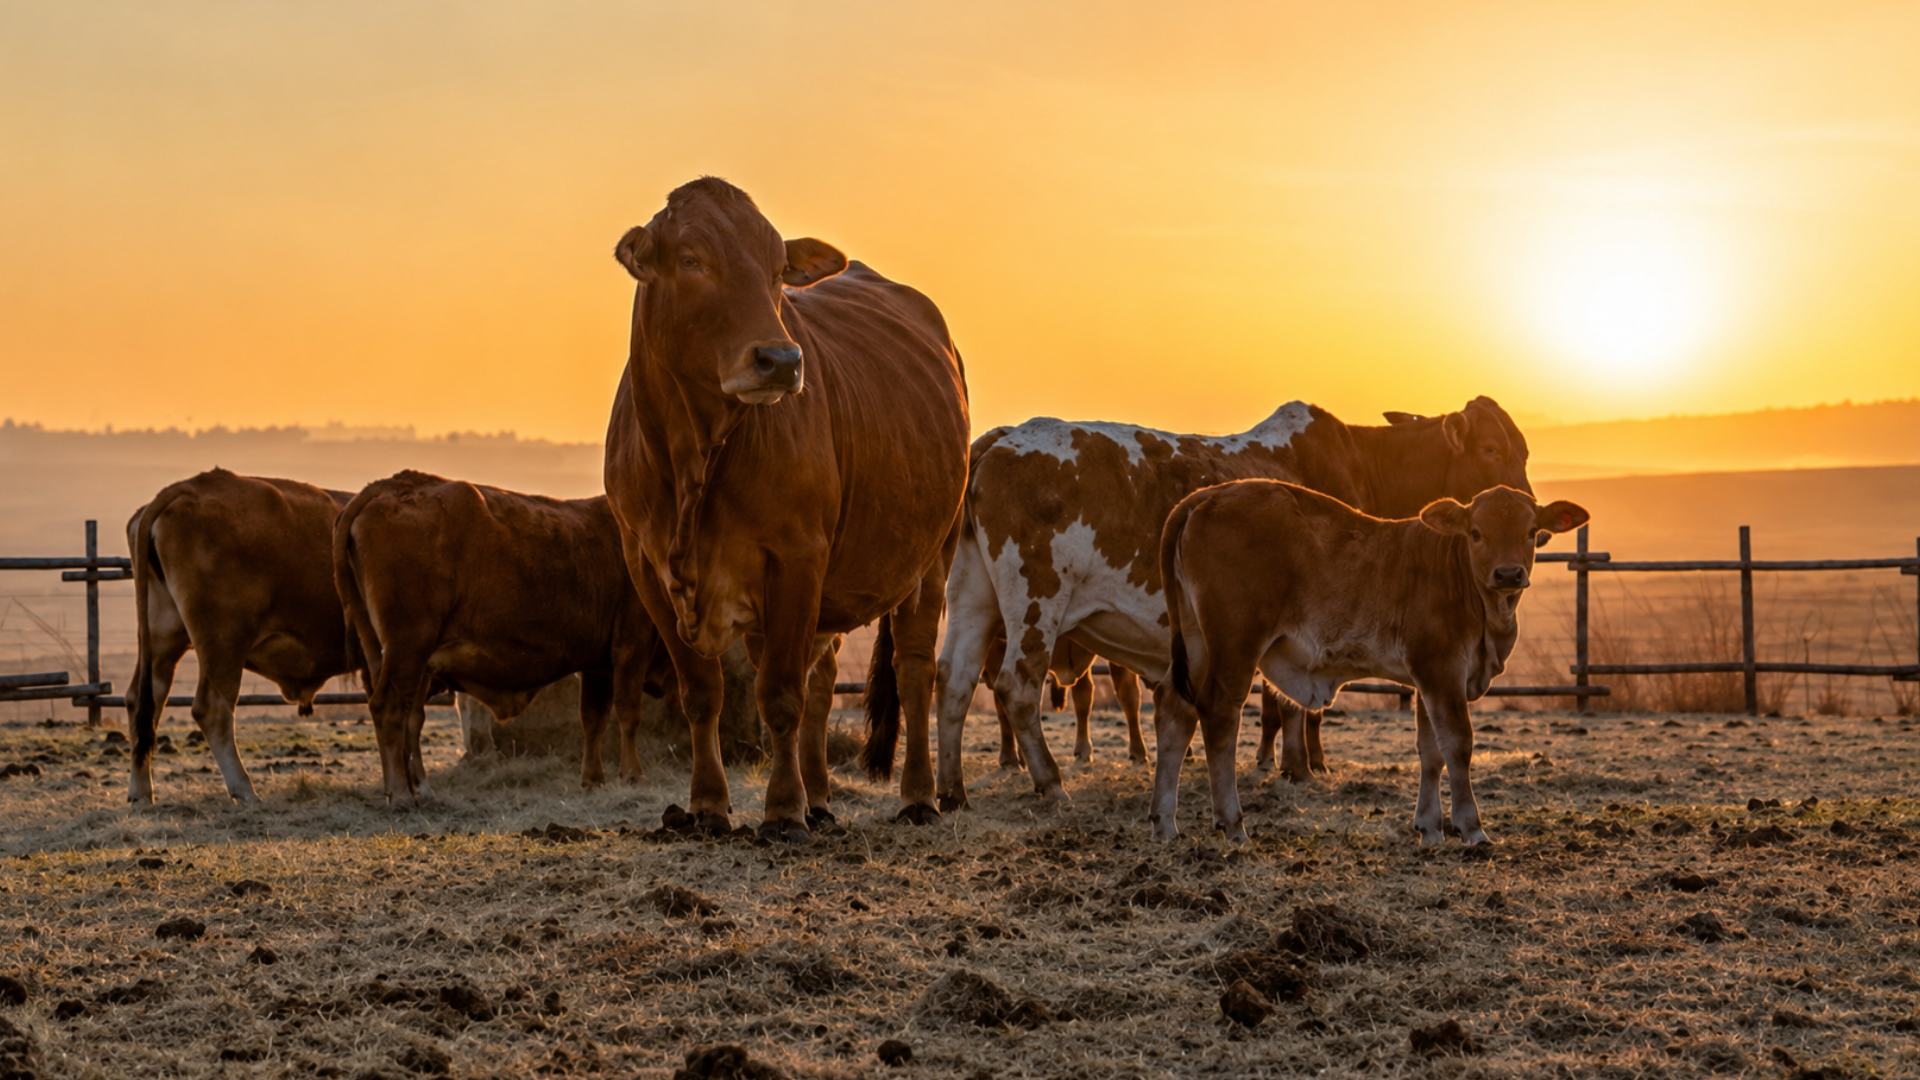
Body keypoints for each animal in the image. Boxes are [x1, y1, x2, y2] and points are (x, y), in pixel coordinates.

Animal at [126, 469, 359, 805]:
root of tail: (186, 487)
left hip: (162, 640)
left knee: (144, 702)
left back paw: (141, 793)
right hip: (224, 643)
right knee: (213, 710)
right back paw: (245, 790)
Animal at [332, 471, 670, 802]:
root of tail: (391, 485)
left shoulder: (596, 665)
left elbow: (593, 719)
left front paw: (593, 779)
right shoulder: (632, 645)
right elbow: (628, 711)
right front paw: (633, 775)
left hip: (394, 656)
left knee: (405, 717)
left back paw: (415, 789)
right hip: (408, 648)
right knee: (390, 709)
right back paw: (402, 794)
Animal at [603, 177, 970, 841]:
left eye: (777, 270)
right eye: (691, 260)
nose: (781, 359)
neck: (692, 462)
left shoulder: (798, 556)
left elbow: (778, 696)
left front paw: (781, 811)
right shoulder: (645, 565)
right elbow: (703, 694)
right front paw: (708, 806)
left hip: (933, 557)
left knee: (914, 671)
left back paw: (918, 797)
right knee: (822, 682)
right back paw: (820, 800)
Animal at [932, 397, 1534, 811]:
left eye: (1524, 450)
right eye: (1491, 450)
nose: (1532, 510)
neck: (1364, 465)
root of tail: (1001, 438)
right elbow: (1290, 705)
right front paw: (1296, 767)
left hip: (972, 596)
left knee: (954, 680)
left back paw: (952, 791)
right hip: (1036, 599)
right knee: (1015, 687)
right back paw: (1052, 784)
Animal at [1159, 481, 1587, 843]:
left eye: (1532, 531)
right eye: (1476, 533)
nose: (1509, 574)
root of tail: (1206, 495)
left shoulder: (1427, 678)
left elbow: (1430, 750)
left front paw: (1430, 828)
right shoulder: (1441, 667)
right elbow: (1457, 744)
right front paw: (1471, 827)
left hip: (1196, 642)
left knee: (1176, 710)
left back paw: (1164, 823)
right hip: (1235, 643)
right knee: (1218, 714)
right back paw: (1232, 824)